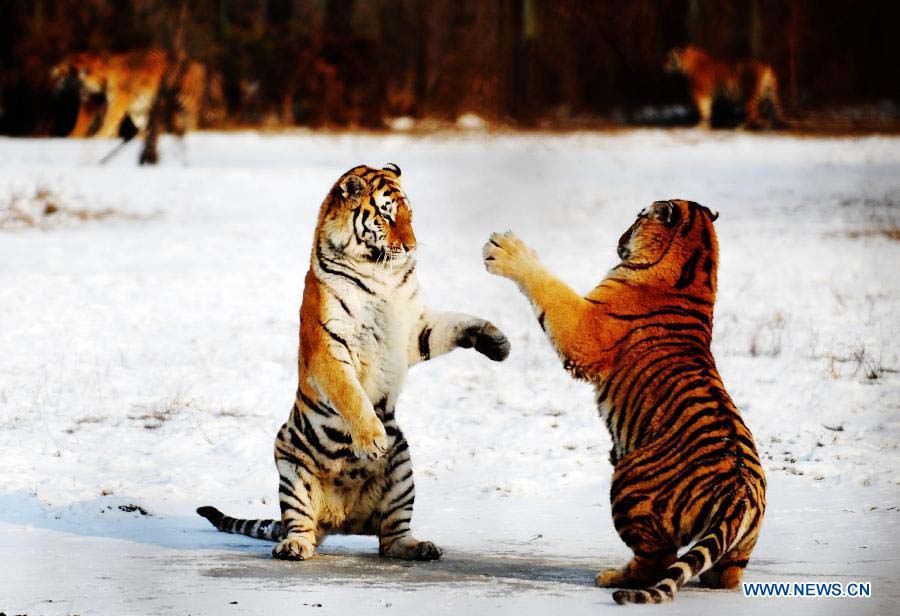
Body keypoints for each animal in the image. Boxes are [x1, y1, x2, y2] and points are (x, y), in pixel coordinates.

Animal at [50, 49, 206, 138]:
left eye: (61, 74)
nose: (53, 87)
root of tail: (196, 63)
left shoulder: (117, 104)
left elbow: (109, 122)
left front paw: (99, 136)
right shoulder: (133, 109)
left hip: (187, 101)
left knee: (192, 121)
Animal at [198, 164, 510, 564]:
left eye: (410, 215)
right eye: (387, 216)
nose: (411, 247)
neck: (382, 273)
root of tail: (340, 520)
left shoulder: (412, 330)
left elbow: (455, 323)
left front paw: (497, 341)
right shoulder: (329, 345)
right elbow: (350, 394)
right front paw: (372, 439)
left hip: (403, 469)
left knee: (391, 538)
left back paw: (419, 547)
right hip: (291, 465)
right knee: (299, 524)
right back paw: (293, 547)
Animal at [486, 200, 768, 604]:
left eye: (638, 216)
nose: (618, 239)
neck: (697, 265)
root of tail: (739, 494)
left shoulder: (584, 328)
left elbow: (551, 288)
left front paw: (506, 250)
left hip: (629, 484)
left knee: (658, 559)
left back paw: (611, 578)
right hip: (739, 546)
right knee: (724, 574)